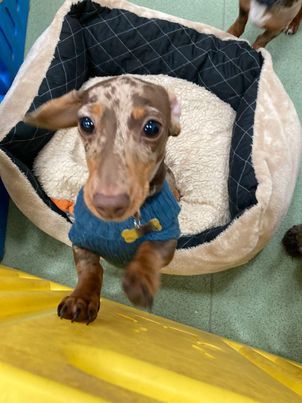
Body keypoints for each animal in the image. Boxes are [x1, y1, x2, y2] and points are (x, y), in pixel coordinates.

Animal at [24, 76, 180, 326]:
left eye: (152, 128)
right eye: (86, 123)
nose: (109, 203)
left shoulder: (168, 238)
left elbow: (150, 251)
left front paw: (140, 277)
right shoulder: (80, 239)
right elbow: (91, 269)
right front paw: (82, 298)